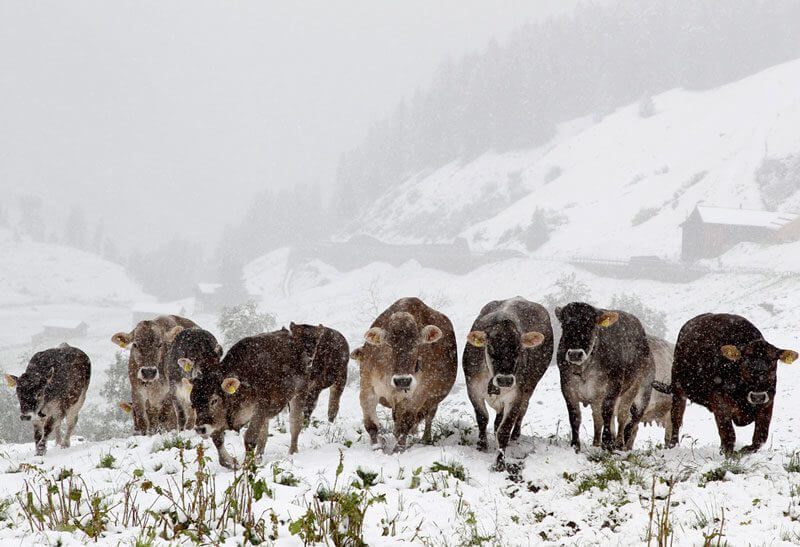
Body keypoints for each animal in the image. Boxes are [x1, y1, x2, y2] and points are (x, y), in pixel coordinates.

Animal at [189, 328, 314, 468]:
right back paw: (259, 459)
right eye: (193, 405)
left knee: (295, 424)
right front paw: (231, 462)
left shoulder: (259, 409)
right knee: (264, 435)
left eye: (214, 400)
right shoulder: (218, 421)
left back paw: (292, 452)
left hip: (300, 392)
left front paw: (246, 466)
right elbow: (218, 440)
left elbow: (250, 438)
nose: (200, 429)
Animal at [354, 298, 460, 452]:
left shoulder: (418, 395)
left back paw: (425, 440)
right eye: (388, 345)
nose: (403, 380)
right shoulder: (367, 389)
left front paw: (398, 448)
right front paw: (377, 447)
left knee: (427, 418)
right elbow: (371, 425)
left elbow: (406, 423)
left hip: (432, 400)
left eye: (416, 345)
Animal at [462, 296, 556, 470]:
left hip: (530, 387)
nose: (505, 379)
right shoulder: (473, 389)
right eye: (491, 349)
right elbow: (482, 418)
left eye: (518, 350)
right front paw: (481, 446)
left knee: (522, 411)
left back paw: (515, 436)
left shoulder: (515, 396)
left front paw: (499, 462)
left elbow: (504, 430)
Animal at [556, 302, 656, 452]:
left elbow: (607, 412)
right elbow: (575, 416)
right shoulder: (567, 387)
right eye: (564, 326)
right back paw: (597, 443)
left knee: (624, 416)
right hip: (597, 396)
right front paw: (575, 445)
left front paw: (608, 442)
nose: (575, 354)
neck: (585, 367)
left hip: (637, 388)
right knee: (598, 418)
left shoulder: (614, 385)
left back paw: (620, 443)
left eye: (591, 326)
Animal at [656, 314, 792, 456]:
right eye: (744, 362)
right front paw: (728, 454)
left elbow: (760, 437)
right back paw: (672, 446)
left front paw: (742, 450)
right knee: (676, 419)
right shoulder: (719, 400)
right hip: (678, 388)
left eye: (773, 362)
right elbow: (728, 432)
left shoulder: (768, 402)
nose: (757, 396)